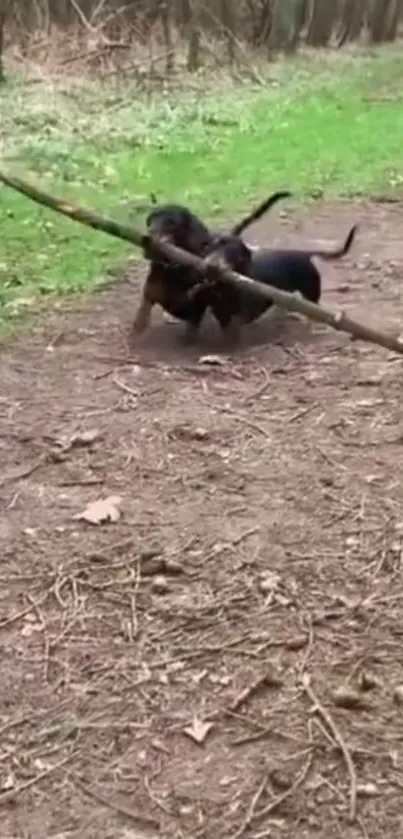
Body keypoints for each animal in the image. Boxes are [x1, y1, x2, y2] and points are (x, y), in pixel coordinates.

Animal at [131, 192, 292, 342]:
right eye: (149, 220)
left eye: (171, 222)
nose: (148, 235)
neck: (175, 270)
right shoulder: (153, 289)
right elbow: (146, 304)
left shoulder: (198, 303)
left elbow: (193, 324)